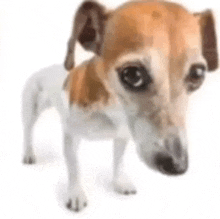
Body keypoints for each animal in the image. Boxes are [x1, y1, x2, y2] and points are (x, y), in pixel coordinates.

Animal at [21, 0, 218, 212]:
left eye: (198, 74)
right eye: (133, 74)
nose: (177, 165)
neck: (112, 107)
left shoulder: (121, 137)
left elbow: (118, 161)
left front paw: (120, 182)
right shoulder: (71, 137)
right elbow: (74, 168)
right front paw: (75, 193)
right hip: (31, 110)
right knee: (28, 131)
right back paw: (28, 153)